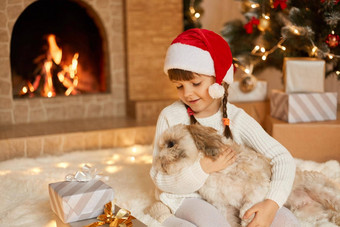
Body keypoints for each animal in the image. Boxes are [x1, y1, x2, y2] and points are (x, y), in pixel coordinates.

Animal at [151, 123, 340, 226]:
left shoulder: (258, 184)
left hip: (322, 190)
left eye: (171, 144)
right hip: (307, 214)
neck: (215, 173)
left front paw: (247, 219)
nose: (158, 161)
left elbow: (249, 207)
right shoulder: (224, 207)